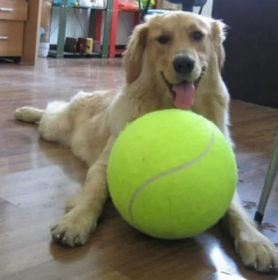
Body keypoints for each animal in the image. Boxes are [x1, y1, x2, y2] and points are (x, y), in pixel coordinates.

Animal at [13, 12, 278, 272]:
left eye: (197, 35)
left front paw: (257, 242)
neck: (173, 109)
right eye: (162, 39)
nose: (184, 63)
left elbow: (236, 211)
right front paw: (77, 220)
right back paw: (26, 112)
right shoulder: (103, 165)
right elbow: (94, 193)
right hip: (54, 127)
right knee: (50, 110)